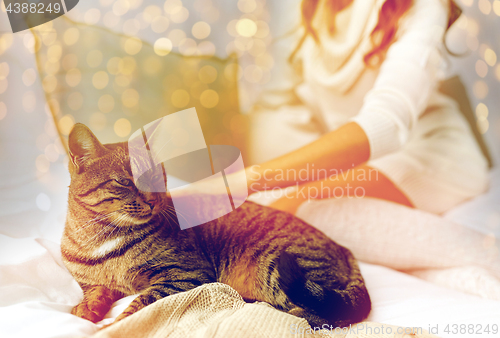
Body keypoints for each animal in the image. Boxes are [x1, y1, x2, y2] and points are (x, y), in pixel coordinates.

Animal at [60, 123, 372, 328]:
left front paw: (111, 326)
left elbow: (139, 307)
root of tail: (343, 248)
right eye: (125, 181)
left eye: (158, 176)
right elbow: (96, 293)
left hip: (279, 268)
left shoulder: (184, 274)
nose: (153, 200)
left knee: (322, 315)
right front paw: (86, 309)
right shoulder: (94, 282)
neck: (101, 238)